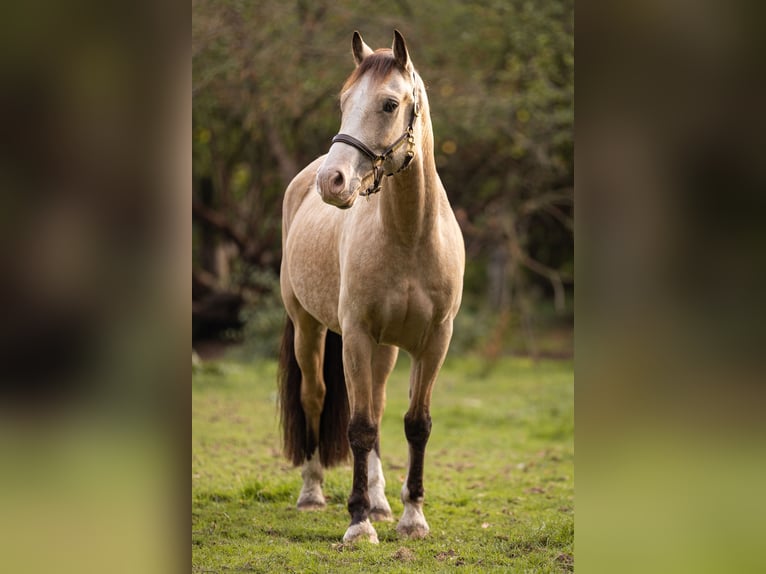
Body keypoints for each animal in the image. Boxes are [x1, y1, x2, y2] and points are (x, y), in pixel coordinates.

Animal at [278, 30, 465, 544]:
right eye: (344, 101)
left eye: (388, 104)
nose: (333, 181)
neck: (410, 235)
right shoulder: (357, 336)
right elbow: (359, 427)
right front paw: (358, 523)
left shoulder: (434, 342)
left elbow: (415, 424)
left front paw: (411, 516)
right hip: (310, 329)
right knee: (316, 397)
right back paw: (313, 492)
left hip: (387, 349)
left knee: (379, 406)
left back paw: (382, 502)